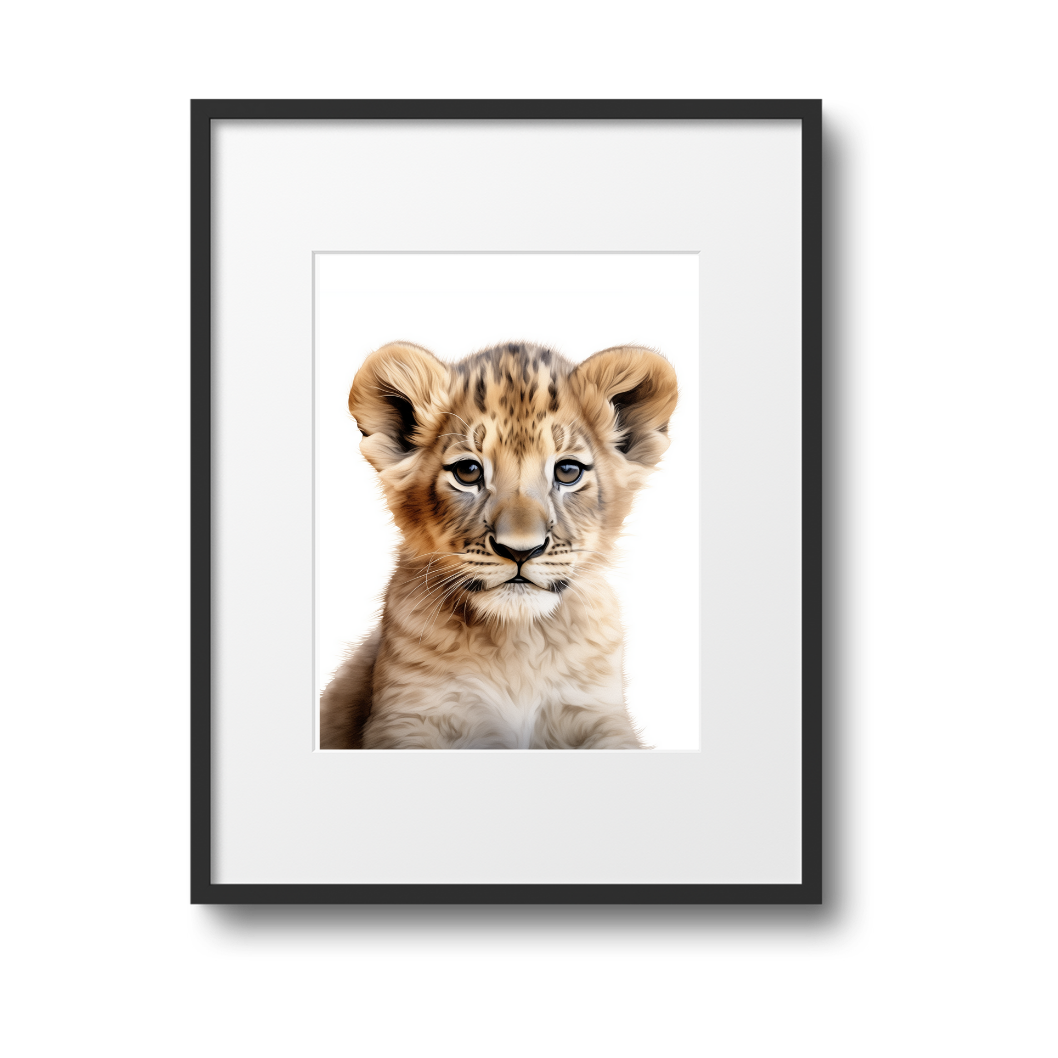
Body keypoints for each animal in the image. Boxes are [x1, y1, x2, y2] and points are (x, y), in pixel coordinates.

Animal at [320, 340, 678, 749]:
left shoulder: (596, 710)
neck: (517, 640)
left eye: (568, 471)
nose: (520, 550)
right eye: (468, 472)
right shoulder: (408, 715)